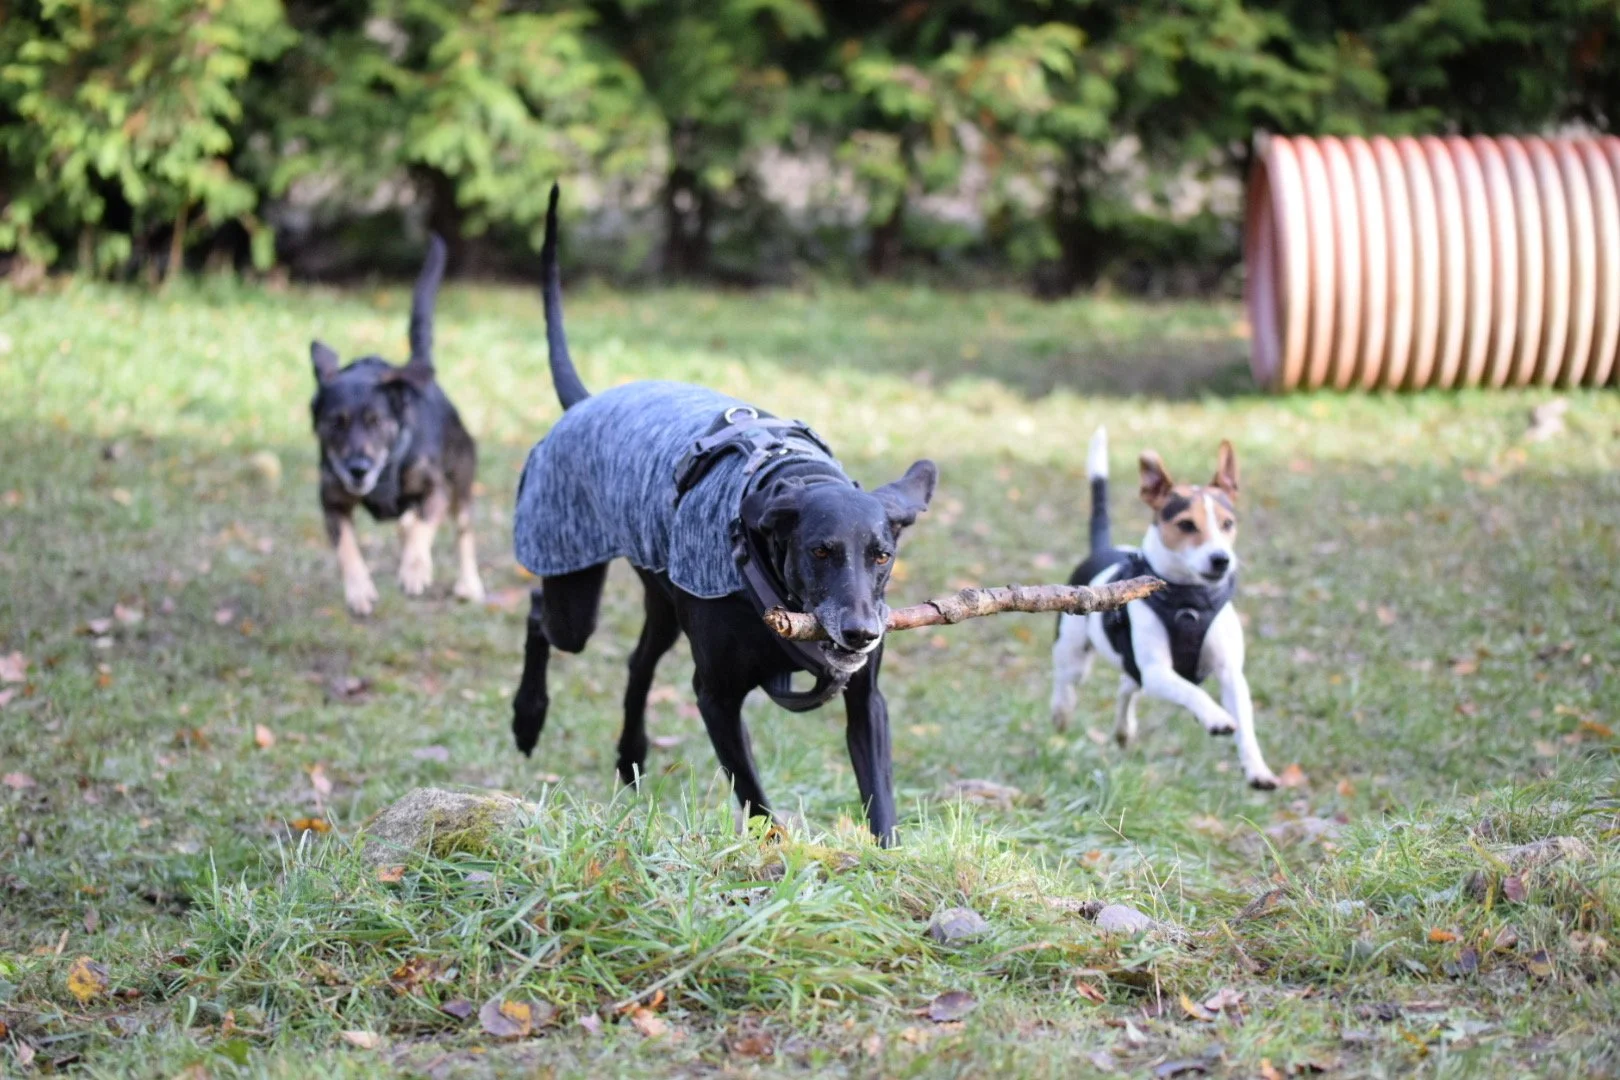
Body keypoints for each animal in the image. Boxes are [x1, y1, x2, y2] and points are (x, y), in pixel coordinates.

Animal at [308, 235, 485, 616]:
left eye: (376, 421)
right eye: (335, 423)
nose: (357, 469)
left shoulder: (436, 489)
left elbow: (424, 528)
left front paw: (415, 571)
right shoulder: (331, 501)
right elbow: (346, 547)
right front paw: (359, 590)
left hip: (462, 480)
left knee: (463, 529)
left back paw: (468, 583)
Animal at [510, 186, 936, 844]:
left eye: (882, 555)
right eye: (820, 551)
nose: (861, 632)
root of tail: (585, 403)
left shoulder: (866, 698)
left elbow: (880, 800)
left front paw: (889, 859)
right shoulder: (714, 695)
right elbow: (758, 805)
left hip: (662, 597)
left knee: (637, 661)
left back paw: (630, 755)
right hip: (571, 587)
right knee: (540, 614)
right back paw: (528, 717)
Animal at [1049, 428, 1277, 789]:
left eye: (1228, 523)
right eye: (1186, 525)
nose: (1221, 559)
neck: (1190, 601)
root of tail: (1103, 549)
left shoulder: (1230, 674)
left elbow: (1245, 725)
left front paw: (1258, 770)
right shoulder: (1157, 671)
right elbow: (1191, 691)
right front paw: (1215, 716)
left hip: (1132, 669)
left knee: (1127, 686)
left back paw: (1124, 730)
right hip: (1073, 653)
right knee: (1067, 683)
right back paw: (1061, 712)